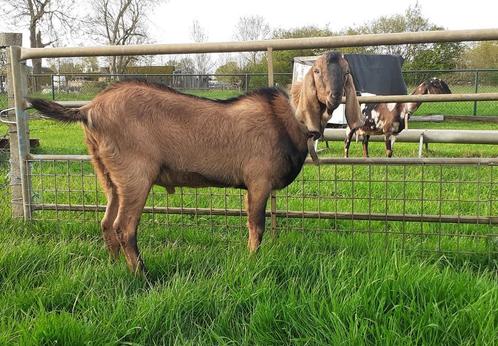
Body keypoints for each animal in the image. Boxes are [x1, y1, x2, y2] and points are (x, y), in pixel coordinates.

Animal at [26, 51, 362, 274]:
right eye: (316, 71)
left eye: (346, 72)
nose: (334, 97)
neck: (288, 119)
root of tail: (89, 109)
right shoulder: (258, 180)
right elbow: (257, 226)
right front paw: (252, 262)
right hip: (135, 174)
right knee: (124, 227)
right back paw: (141, 274)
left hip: (108, 173)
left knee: (107, 222)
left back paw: (115, 266)